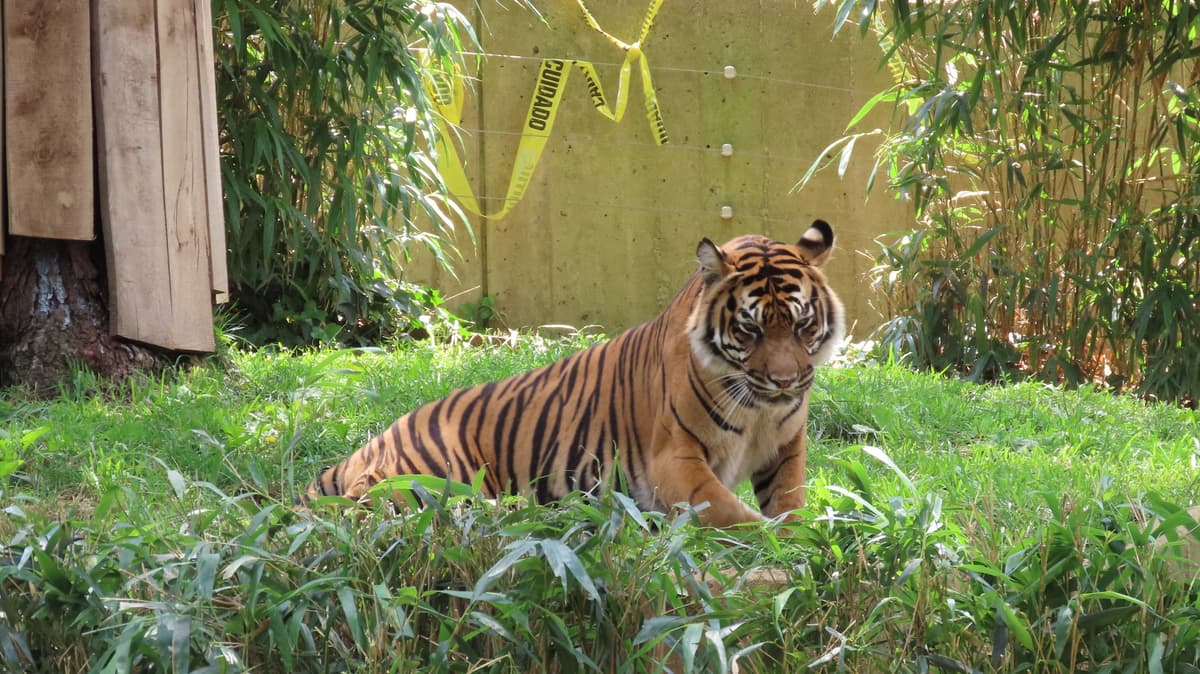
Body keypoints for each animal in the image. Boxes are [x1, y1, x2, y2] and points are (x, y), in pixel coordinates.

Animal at [304, 221, 845, 528]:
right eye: (750, 329)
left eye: (801, 324)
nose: (786, 381)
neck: (758, 411)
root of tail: (369, 444)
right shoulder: (676, 463)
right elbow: (737, 516)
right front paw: (786, 546)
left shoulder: (785, 447)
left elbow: (789, 504)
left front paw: (799, 536)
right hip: (435, 472)